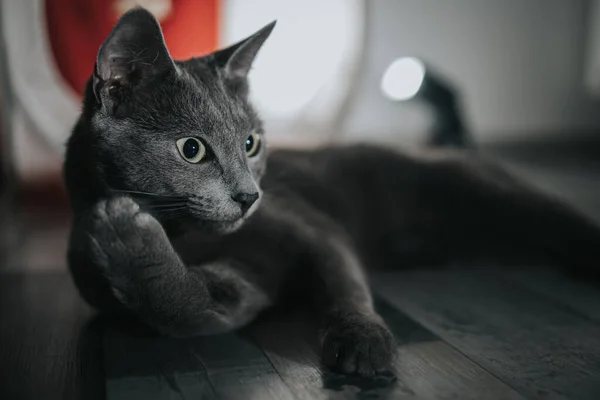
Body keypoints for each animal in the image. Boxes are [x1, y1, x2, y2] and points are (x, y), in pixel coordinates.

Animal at [63, 9, 600, 378]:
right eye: (191, 149)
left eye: (251, 143)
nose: (249, 197)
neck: (188, 238)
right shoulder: (246, 280)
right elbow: (190, 311)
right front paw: (126, 242)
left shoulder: (315, 228)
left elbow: (344, 281)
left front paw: (363, 343)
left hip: (498, 197)